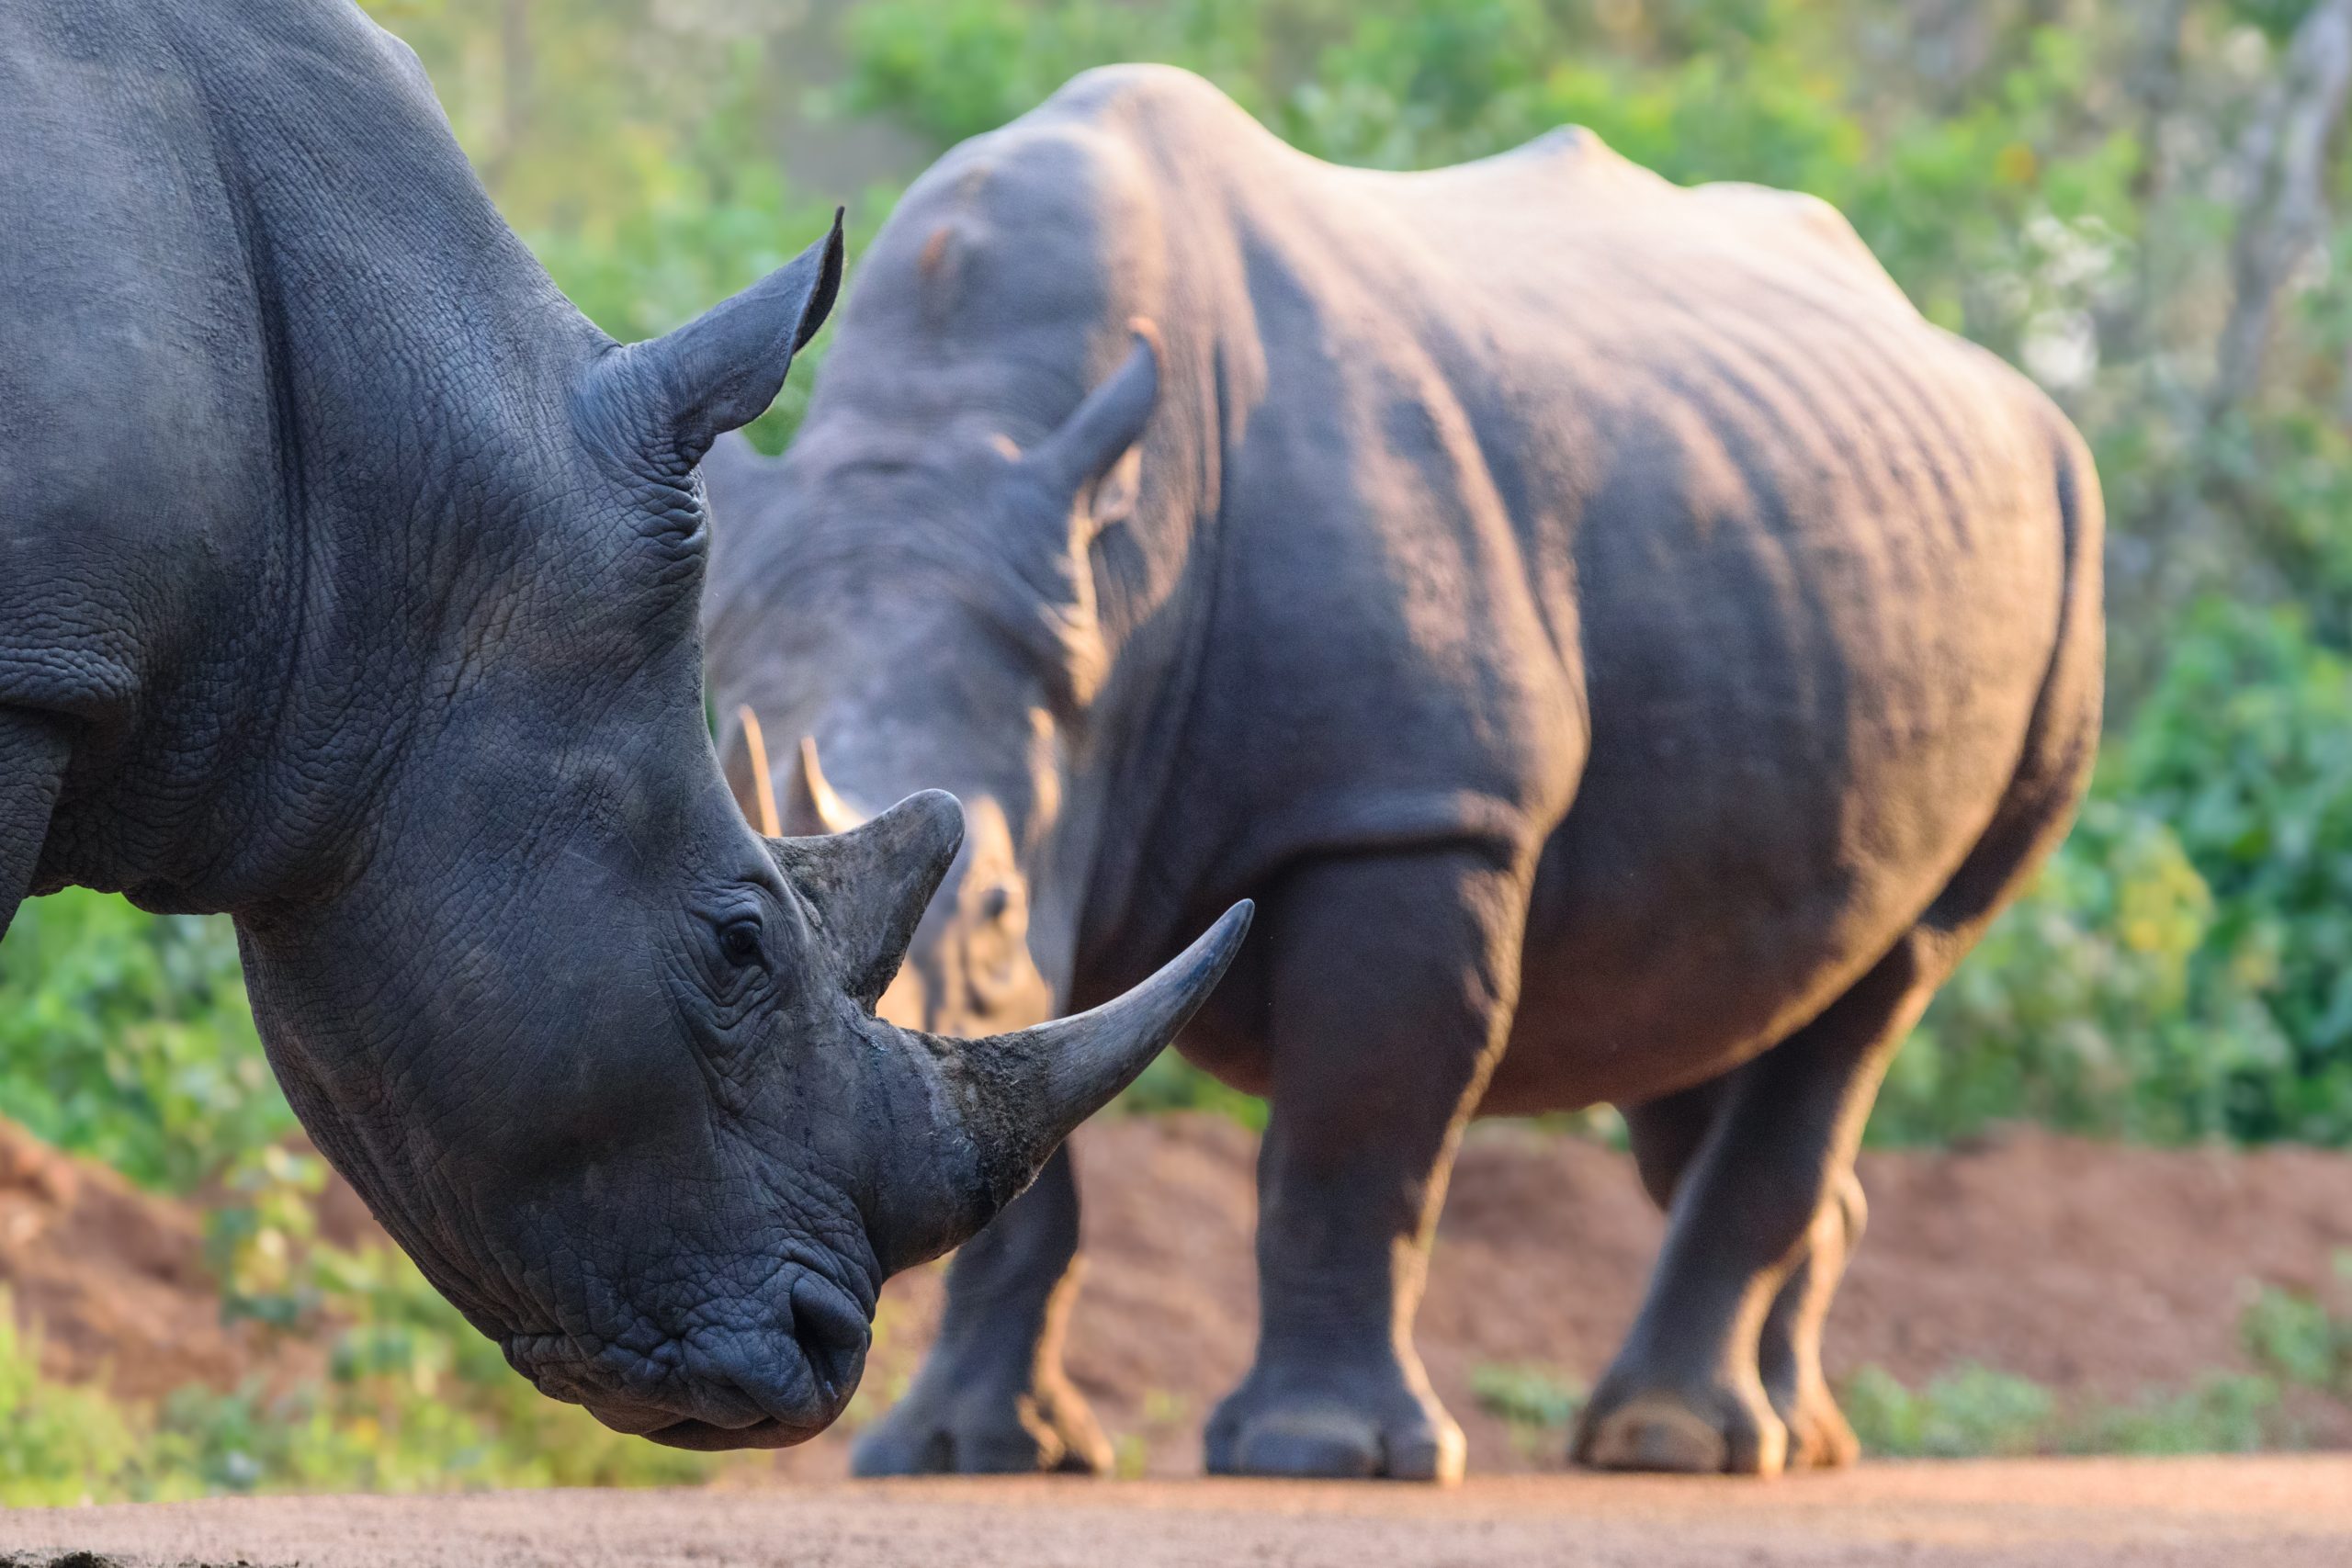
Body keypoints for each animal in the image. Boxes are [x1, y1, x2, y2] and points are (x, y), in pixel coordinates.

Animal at [702, 64, 2104, 1479]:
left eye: (989, 909)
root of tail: (1984, 370)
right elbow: (1025, 1151)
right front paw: (964, 1451)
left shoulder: (1412, 809)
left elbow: (1353, 1130)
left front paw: (1317, 1450)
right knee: (1722, 997)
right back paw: (1791, 1436)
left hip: (2064, 536)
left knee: (1892, 974)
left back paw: (1673, 1441)